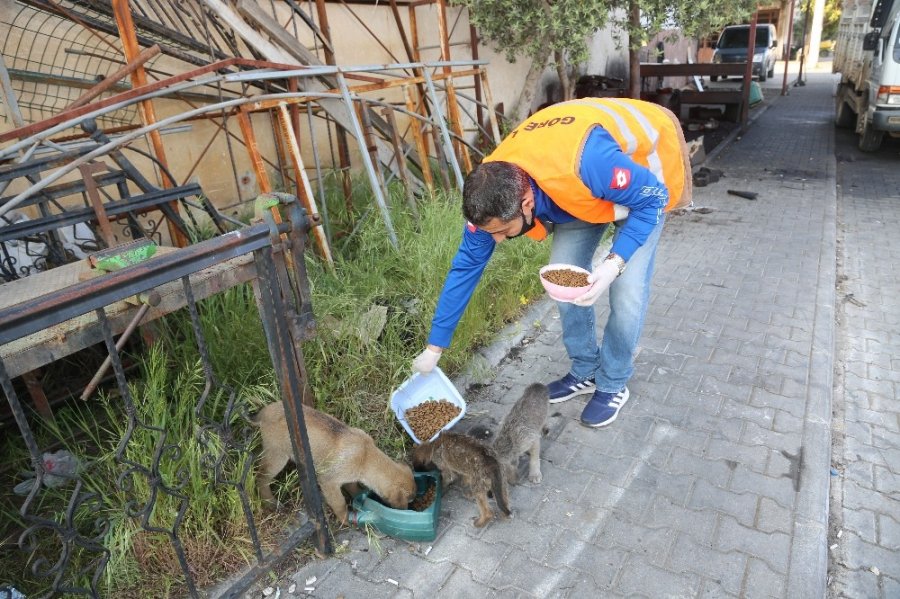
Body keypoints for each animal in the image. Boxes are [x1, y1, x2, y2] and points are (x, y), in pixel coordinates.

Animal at [253, 404, 414, 524]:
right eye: (408, 500)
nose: (408, 510)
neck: (365, 456)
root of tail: (262, 414)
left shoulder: (348, 478)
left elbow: (354, 489)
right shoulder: (328, 481)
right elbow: (339, 503)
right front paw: (345, 519)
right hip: (277, 456)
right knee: (260, 478)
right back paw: (271, 503)